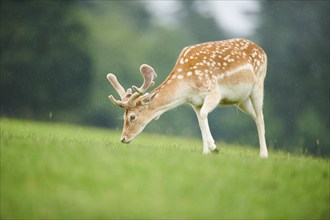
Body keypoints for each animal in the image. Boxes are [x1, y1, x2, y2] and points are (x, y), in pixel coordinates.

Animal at [107, 38, 268, 158]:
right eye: (123, 116)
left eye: (132, 117)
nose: (123, 139)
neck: (187, 87)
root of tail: (262, 50)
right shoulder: (195, 103)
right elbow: (200, 121)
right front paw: (205, 152)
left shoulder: (214, 92)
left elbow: (203, 114)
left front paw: (214, 148)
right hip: (242, 100)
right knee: (255, 116)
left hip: (258, 86)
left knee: (260, 117)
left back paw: (264, 155)